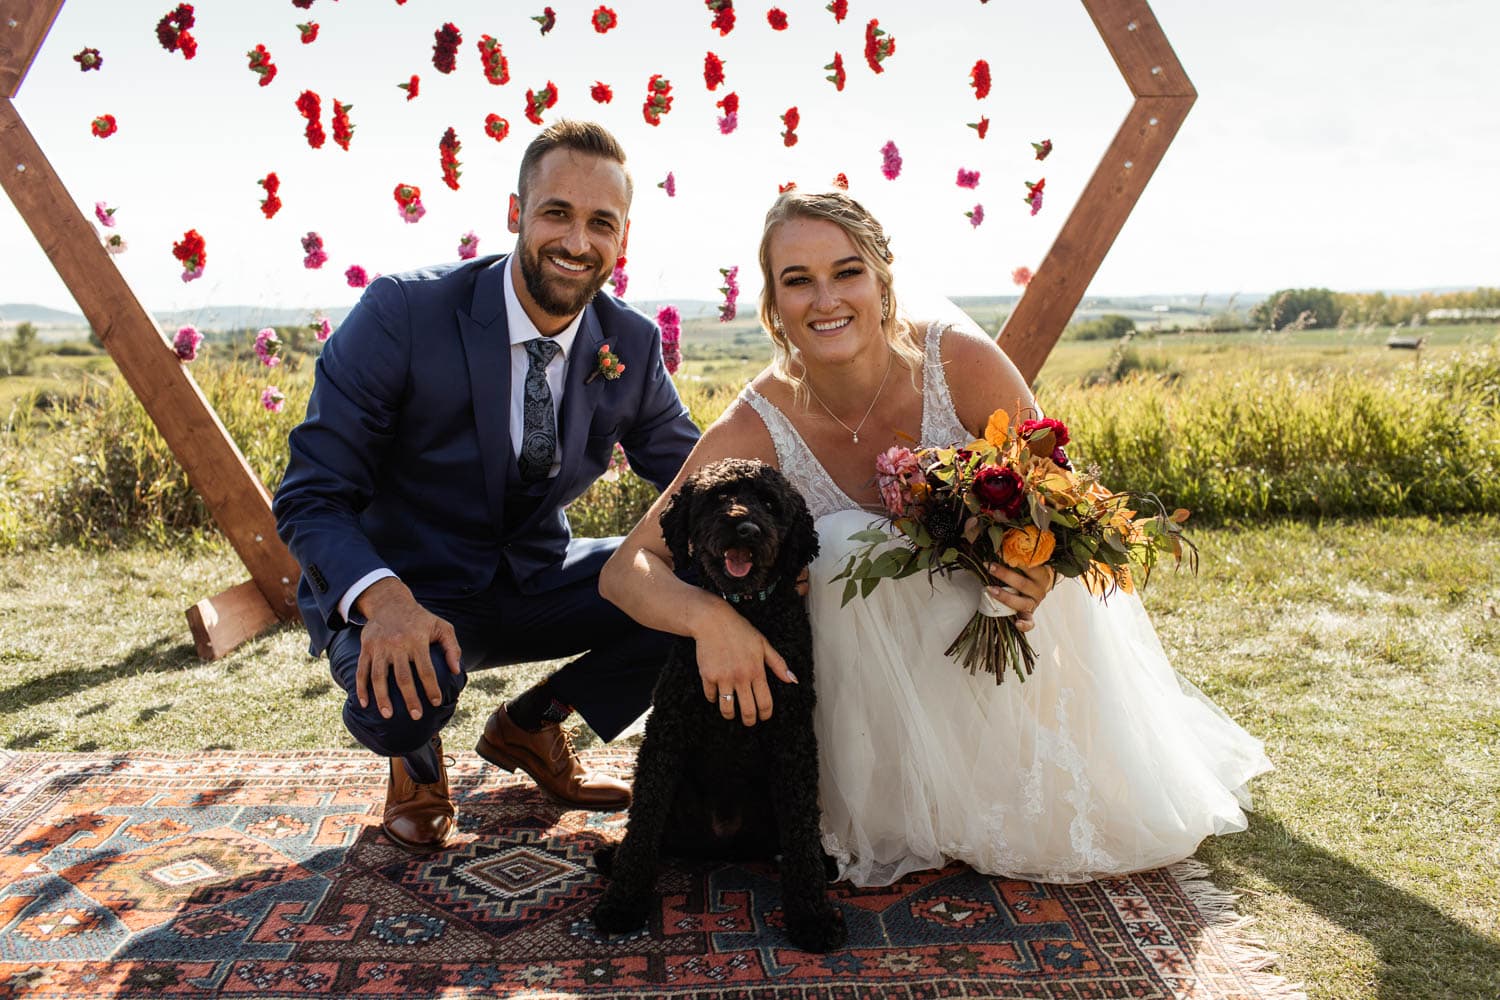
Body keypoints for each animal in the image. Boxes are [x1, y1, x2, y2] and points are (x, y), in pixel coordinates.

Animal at [594, 458, 852, 953]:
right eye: (717, 497)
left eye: (770, 503)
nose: (745, 528)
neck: (748, 611)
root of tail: (723, 844)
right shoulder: (665, 734)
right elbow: (642, 820)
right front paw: (623, 902)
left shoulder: (791, 737)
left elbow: (801, 827)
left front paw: (811, 916)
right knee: (651, 831)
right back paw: (611, 856)